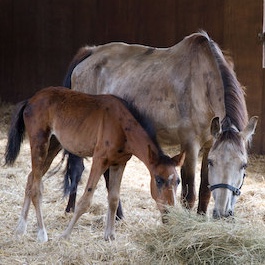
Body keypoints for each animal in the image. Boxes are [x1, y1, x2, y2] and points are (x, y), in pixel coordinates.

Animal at [5, 87, 185, 241]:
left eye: (178, 181)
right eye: (158, 180)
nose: (169, 215)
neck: (121, 126)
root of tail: (30, 100)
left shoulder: (119, 163)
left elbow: (113, 198)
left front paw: (110, 236)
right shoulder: (100, 159)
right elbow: (85, 200)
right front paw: (65, 235)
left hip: (53, 146)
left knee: (31, 179)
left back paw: (20, 228)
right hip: (39, 143)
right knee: (36, 187)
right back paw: (42, 234)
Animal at [63, 31, 256, 217]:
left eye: (244, 165)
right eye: (213, 162)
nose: (222, 212)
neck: (202, 85)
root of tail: (90, 52)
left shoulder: (209, 144)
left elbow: (204, 192)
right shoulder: (190, 145)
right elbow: (189, 195)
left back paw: (118, 215)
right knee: (78, 168)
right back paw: (71, 208)